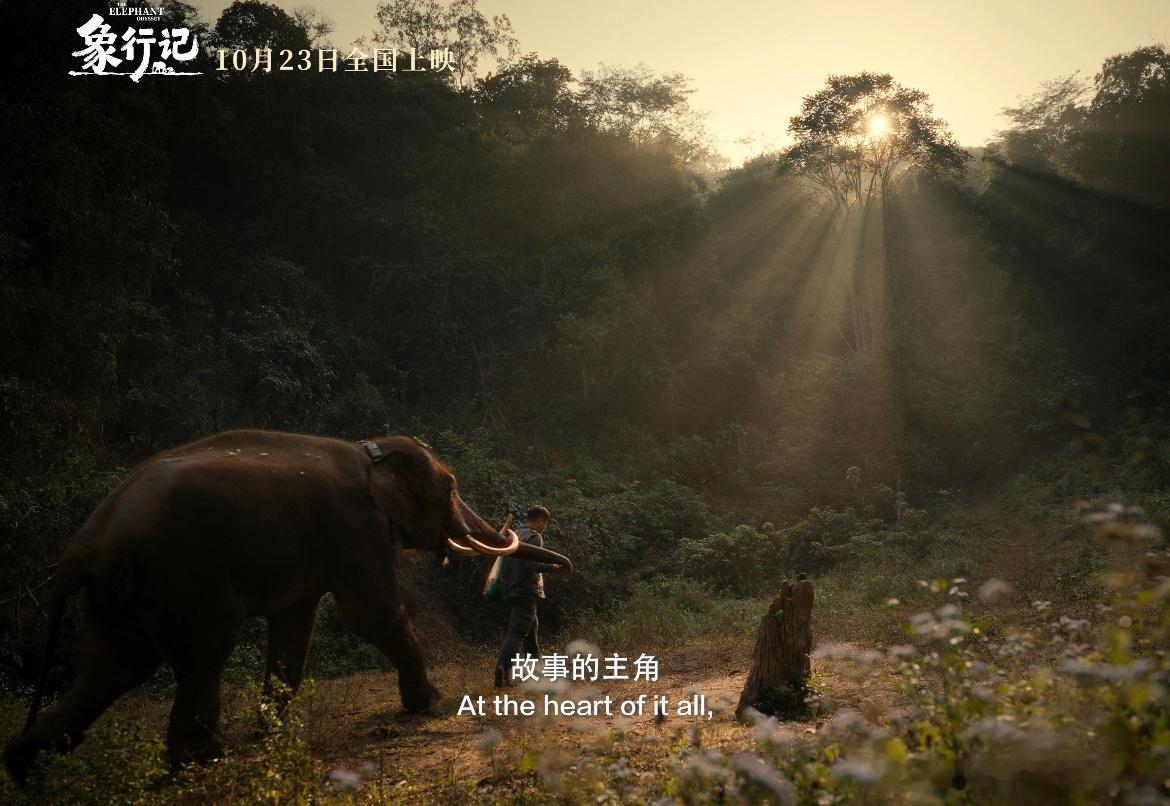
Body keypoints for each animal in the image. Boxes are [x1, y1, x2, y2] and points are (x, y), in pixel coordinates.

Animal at [3, 429, 571, 784]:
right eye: (450, 486)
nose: (562, 567)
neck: (370, 451)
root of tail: (82, 545)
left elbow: (297, 621)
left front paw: (274, 732)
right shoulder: (352, 525)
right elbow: (368, 612)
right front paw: (429, 703)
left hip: (123, 593)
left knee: (113, 667)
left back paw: (26, 769)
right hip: (182, 572)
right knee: (204, 650)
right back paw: (204, 759)